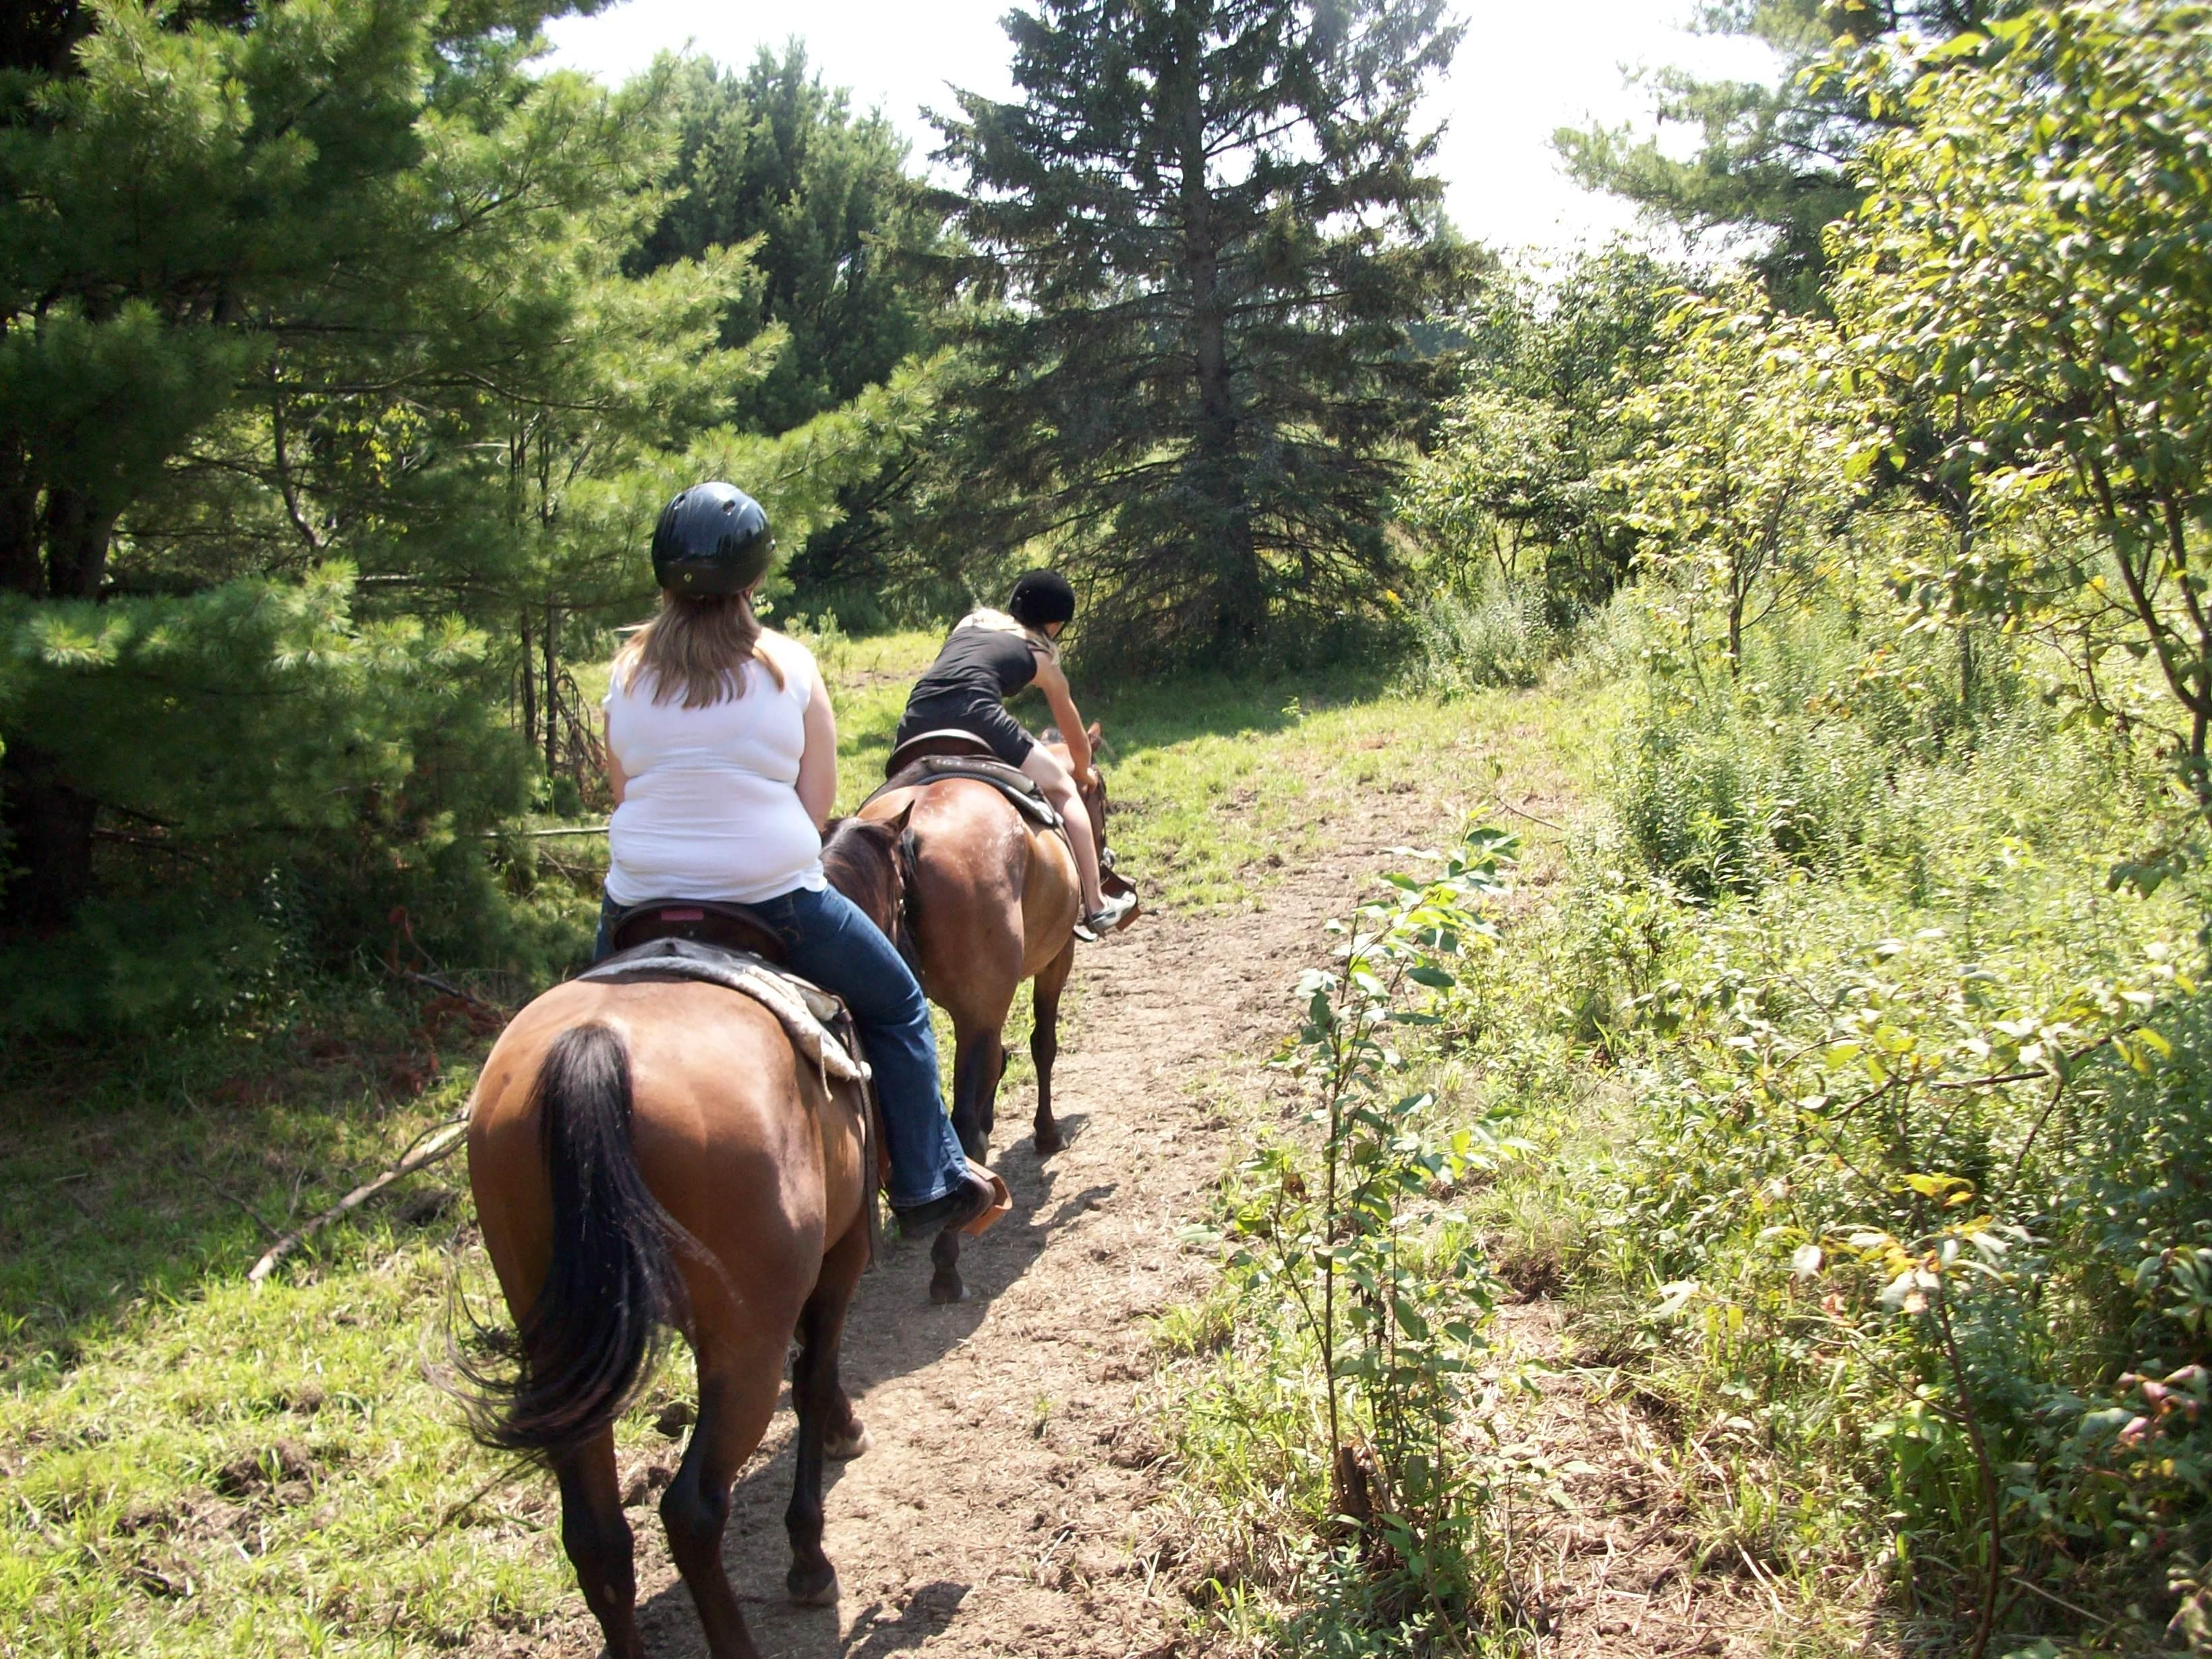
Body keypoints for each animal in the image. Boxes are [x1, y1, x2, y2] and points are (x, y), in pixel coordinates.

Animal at [467, 814, 915, 1659]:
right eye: (907, 888)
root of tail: (595, 1044)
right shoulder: (839, 1258)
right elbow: (812, 1379)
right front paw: (810, 1548)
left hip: (563, 1344)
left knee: (597, 1537)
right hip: (743, 1339)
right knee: (693, 1507)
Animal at [844, 725, 1124, 1309]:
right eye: (1101, 792)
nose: (1106, 857)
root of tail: (911, 833)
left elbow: (996, 1064)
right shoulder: (1053, 960)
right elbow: (1042, 1045)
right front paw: (1046, 1133)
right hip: (984, 1001)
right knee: (963, 1125)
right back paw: (947, 1261)